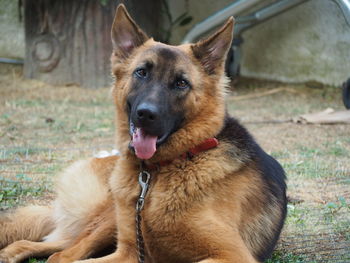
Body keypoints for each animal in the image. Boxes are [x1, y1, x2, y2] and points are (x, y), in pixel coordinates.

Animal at [0, 4, 286, 263]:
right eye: (141, 72)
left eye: (181, 83)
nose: (146, 114)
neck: (161, 171)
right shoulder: (128, 250)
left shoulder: (231, 254)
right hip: (109, 221)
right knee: (58, 252)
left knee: (53, 249)